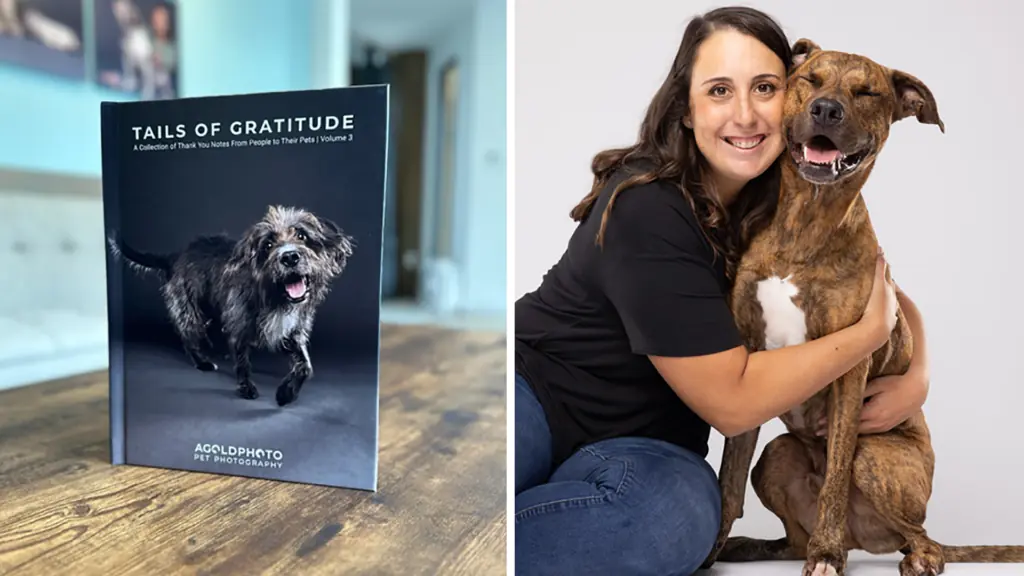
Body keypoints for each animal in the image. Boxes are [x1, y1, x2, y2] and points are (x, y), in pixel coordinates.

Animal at [108, 203, 356, 405]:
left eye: (302, 235)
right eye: (268, 245)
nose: (289, 257)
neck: (273, 297)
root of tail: (175, 255)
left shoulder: (292, 332)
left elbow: (306, 366)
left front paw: (286, 393)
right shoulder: (240, 327)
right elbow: (243, 363)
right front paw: (246, 388)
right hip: (189, 310)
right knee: (188, 336)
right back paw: (203, 361)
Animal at [700, 38, 1024, 569]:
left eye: (867, 92)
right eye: (809, 80)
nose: (826, 109)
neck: (804, 223)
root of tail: (865, 537)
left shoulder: (849, 367)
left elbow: (834, 473)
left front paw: (826, 554)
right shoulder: (745, 358)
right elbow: (728, 481)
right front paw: (709, 554)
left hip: (874, 456)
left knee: (919, 533)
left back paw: (912, 557)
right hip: (778, 455)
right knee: (793, 534)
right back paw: (757, 546)